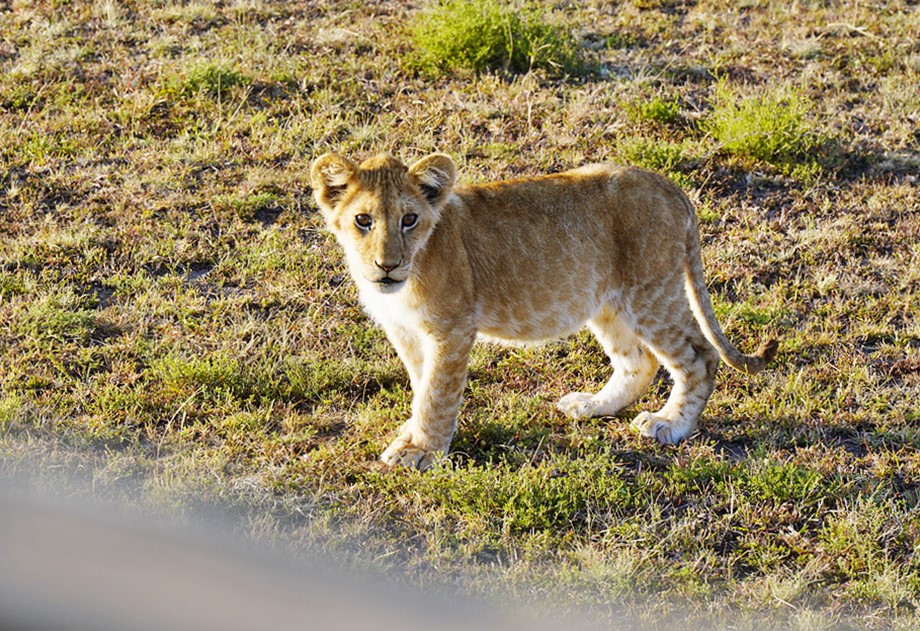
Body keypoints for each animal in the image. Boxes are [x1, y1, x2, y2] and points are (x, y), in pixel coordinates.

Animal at [311, 152, 778, 469]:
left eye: (409, 220)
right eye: (363, 220)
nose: (386, 266)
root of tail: (668, 185)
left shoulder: (452, 328)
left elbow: (437, 392)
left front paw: (421, 449)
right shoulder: (406, 331)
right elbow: (421, 383)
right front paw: (413, 432)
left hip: (650, 292)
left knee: (699, 355)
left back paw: (671, 424)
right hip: (608, 302)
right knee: (638, 361)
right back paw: (593, 405)